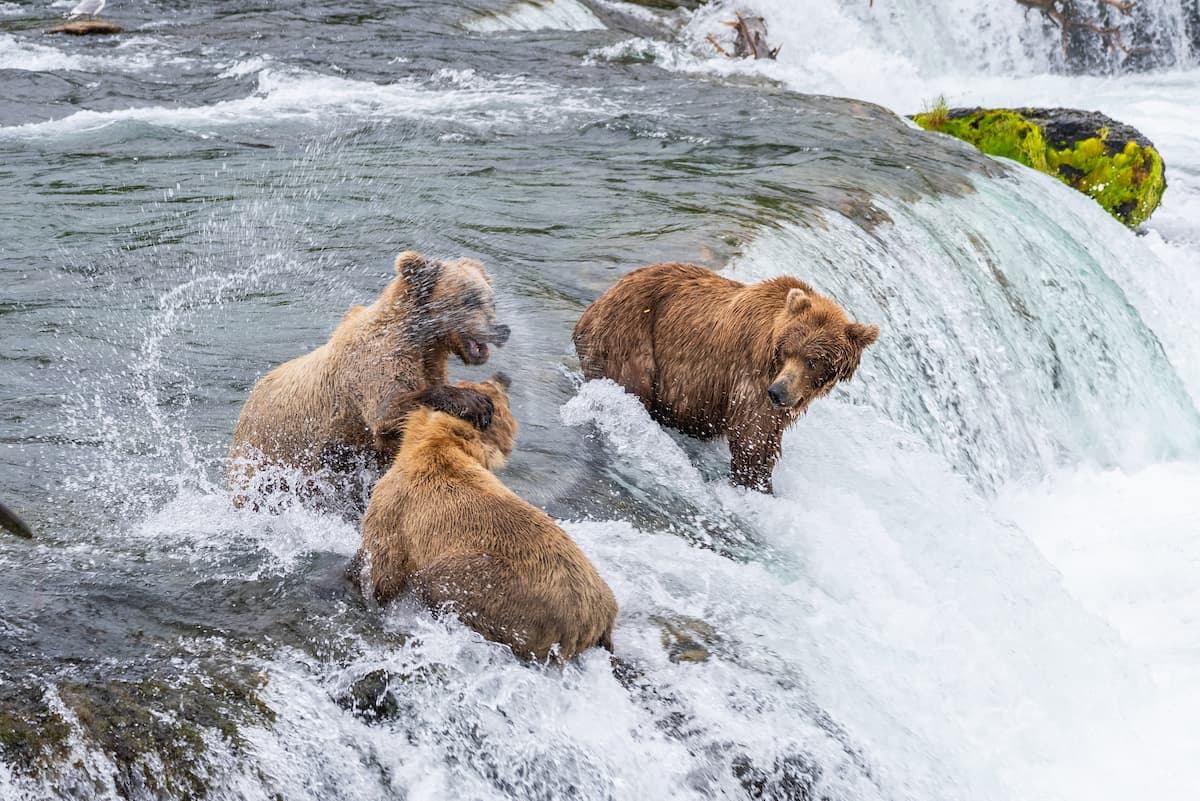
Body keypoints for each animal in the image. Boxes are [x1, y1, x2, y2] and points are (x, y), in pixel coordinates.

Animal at [227, 250, 510, 512]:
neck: (421, 341)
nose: (503, 329)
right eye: (470, 299)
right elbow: (389, 410)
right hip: (270, 456)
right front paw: (477, 403)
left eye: (491, 300)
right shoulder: (375, 364)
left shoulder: (428, 364)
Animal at [354, 374, 618, 664]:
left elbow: (383, 569)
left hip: (504, 592)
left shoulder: (397, 509)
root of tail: (597, 619)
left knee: (439, 582)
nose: (502, 377)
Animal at [572, 262, 879, 494]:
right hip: (629, 338)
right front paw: (758, 487)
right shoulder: (752, 379)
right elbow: (752, 440)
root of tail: (596, 303)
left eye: (813, 361)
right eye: (787, 351)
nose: (778, 392)